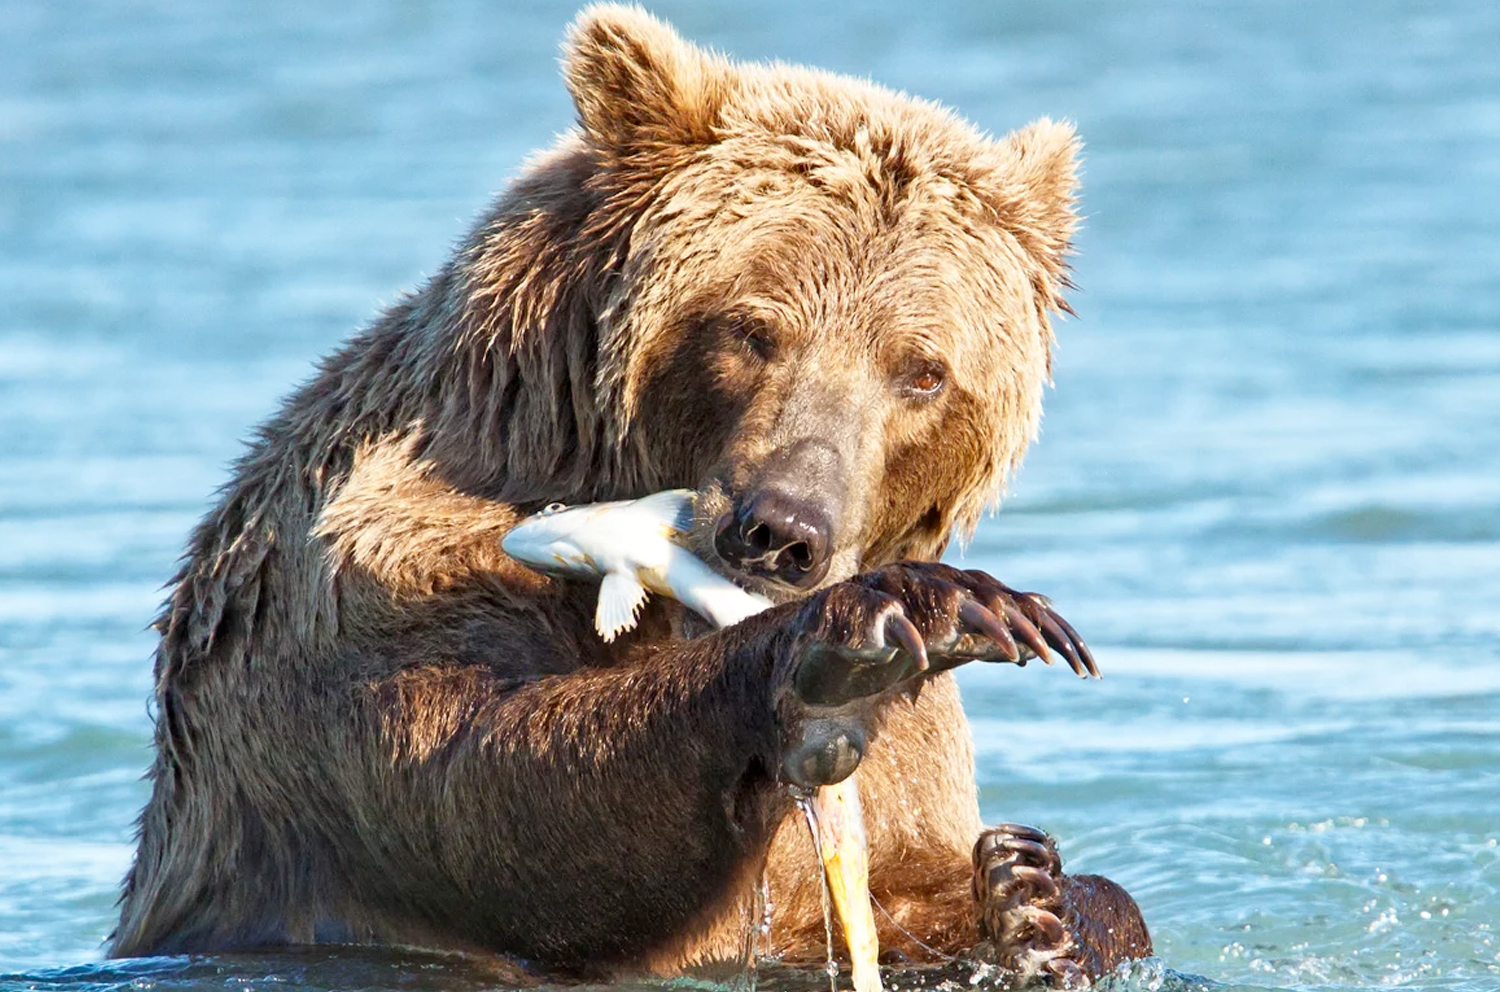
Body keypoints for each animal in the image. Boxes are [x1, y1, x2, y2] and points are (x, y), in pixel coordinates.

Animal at [111, 4, 1151, 985]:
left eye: (923, 372)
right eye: (751, 328)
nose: (783, 531)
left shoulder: (910, 759)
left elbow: (893, 877)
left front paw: (1035, 900)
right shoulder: (375, 569)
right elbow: (497, 784)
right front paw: (870, 639)